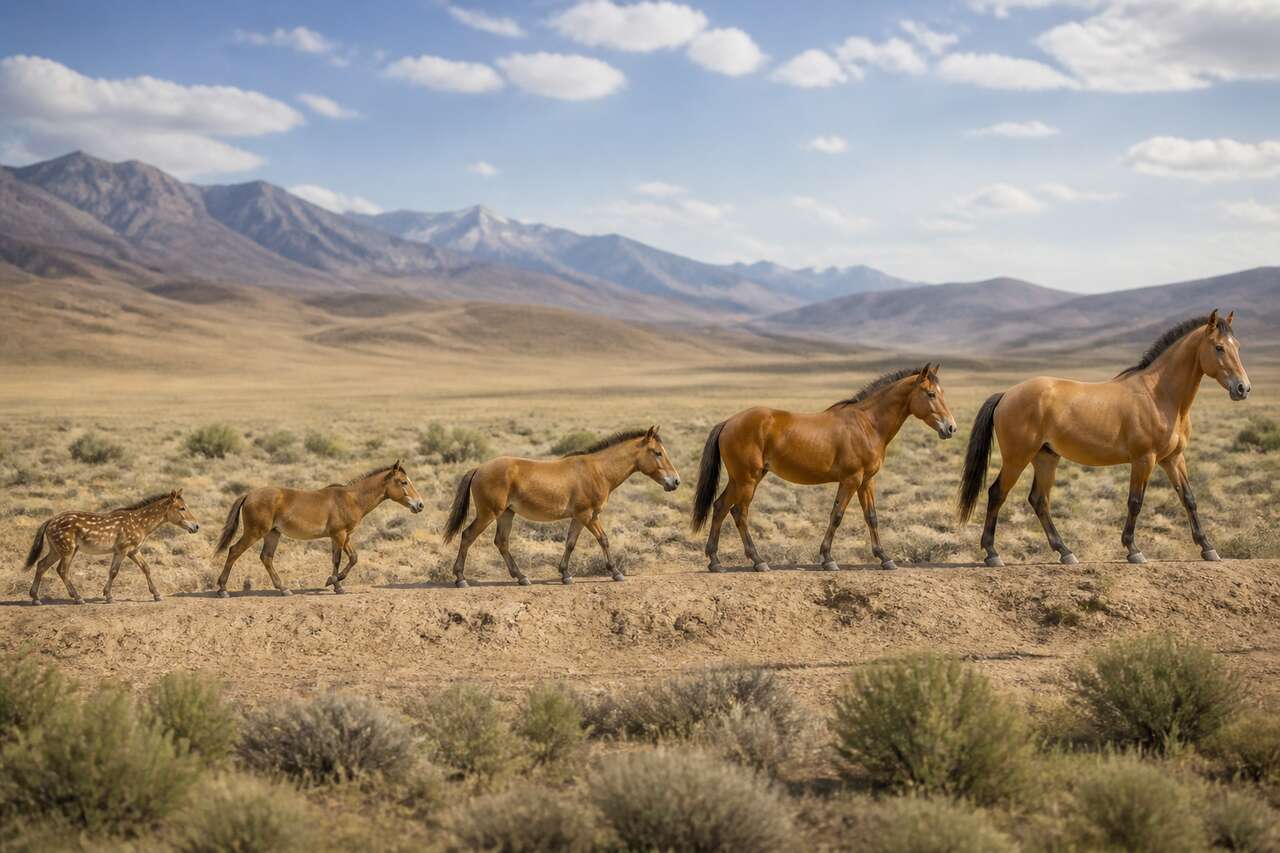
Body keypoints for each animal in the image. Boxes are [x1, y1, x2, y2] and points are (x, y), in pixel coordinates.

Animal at [23, 489, 200, 605]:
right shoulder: (123, 550)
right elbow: (114, 571)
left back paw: (36, 598)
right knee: (62, 570)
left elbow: (146, 568)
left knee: (41, 565)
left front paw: (156, 595)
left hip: (57, 550)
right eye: (182, 508)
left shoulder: (133, 551)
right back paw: (78, 598)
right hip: (67, 550)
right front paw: (108, 597)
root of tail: (50, 521)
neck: (140, 523)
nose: (196, 527)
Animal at [214, 460, 424, 597]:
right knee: (234, 551)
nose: (420, 505)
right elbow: (344, 559)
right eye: (404, 482)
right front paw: (335, 583)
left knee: (266, 557)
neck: (351, 499)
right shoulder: (339, 535)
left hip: (273, 534)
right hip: (255, 532)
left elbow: (348, 559)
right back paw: (222, 589)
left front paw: (334, 583)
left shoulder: (342, 536)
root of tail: (248, 495)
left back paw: (284, 589)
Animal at [442, 426, 681, 588]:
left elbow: (570, 543)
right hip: (488, 514)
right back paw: (461, 578)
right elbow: (603, 539)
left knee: (501, 542)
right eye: (658, 453)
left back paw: (522, 577)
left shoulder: (579, 517)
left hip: (506, 515)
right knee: (467, 536)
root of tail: (479, 468)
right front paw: (616, 572)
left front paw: (565, 574)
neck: (598, 471)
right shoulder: (588, 516)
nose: (676, 481)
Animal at [691, 364, 957, 573]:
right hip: (748, 480)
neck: (867, 424)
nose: (951, 428)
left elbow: (871, 517)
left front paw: (884, 558)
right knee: (739, 513)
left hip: (740, 479)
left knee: (720, 507)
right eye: (931, 394)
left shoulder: (866, 481)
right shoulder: (850, 480)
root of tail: (728, 422)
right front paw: (828, 559)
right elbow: (836, 515)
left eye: (942, 393)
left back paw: (715, 561)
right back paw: (758, 561)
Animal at [957, 310, 1251, 567]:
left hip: (1046, 458)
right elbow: (1135, 502)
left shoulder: (1173, 459)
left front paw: (1208, 548)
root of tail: (1007, 394)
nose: (1243, 388)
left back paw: (1065, 552)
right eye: (1218, 347)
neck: (1159, 395)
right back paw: (992, 553)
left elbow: (1189, 499)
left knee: (1039, 500)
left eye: (1237, 346)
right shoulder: (1144, 460)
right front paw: (1133, 550)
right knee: (997, 493)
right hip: (1017, 458)